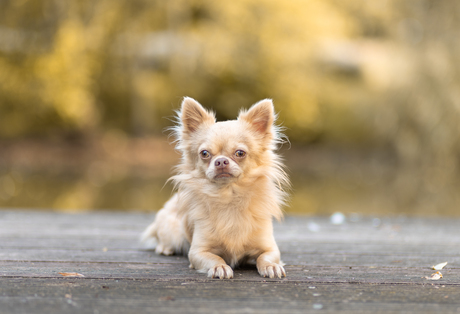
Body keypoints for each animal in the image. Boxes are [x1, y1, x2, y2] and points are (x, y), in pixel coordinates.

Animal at [142, 97, 290, 280]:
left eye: (240, 153)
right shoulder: (198, 252)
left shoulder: (270, 247)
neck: (229, 197)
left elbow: (266, 256)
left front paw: (271, 266)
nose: (220, 161)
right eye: (204, 153)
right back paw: (165, 248)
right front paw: (220, 267)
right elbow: (214, 257)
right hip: (171, 229)